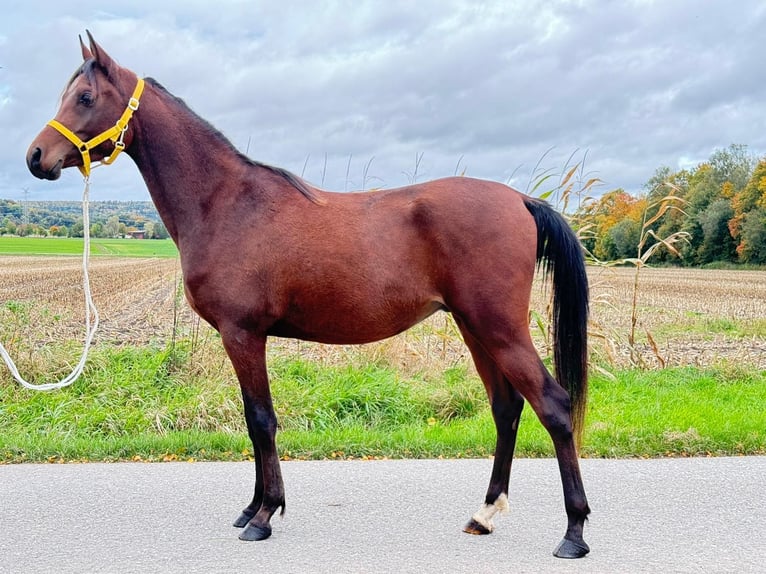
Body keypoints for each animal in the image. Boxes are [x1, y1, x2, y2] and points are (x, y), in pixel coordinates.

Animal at [22, 32, 588, 564]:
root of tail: (520, 199)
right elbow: (254, 421)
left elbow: (261, 420)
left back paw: (574, 533)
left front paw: (264, 516)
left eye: (86, 96)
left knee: (554, 406)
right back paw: (485, 514)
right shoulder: (245, 338)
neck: (225, 203)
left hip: (499, 328)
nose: (35, 157)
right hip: (475, 328)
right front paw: (252, 507)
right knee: (506, 407)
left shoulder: (243, 334)